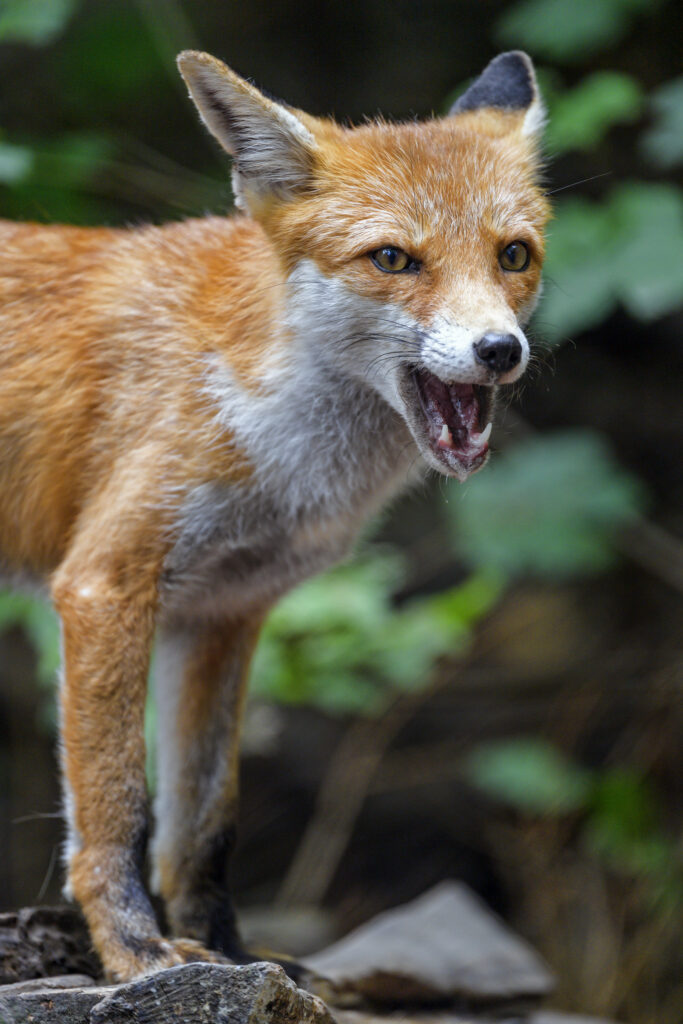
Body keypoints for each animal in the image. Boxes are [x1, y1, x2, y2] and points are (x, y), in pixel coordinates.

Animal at [0, 50, 550, 982]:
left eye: (513, 254)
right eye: (393, 258)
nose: (498, 350)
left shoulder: (224, 611)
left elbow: (204, 820)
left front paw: (232, 953)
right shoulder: (106, 583)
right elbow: (116, 802)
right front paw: (136, 951)